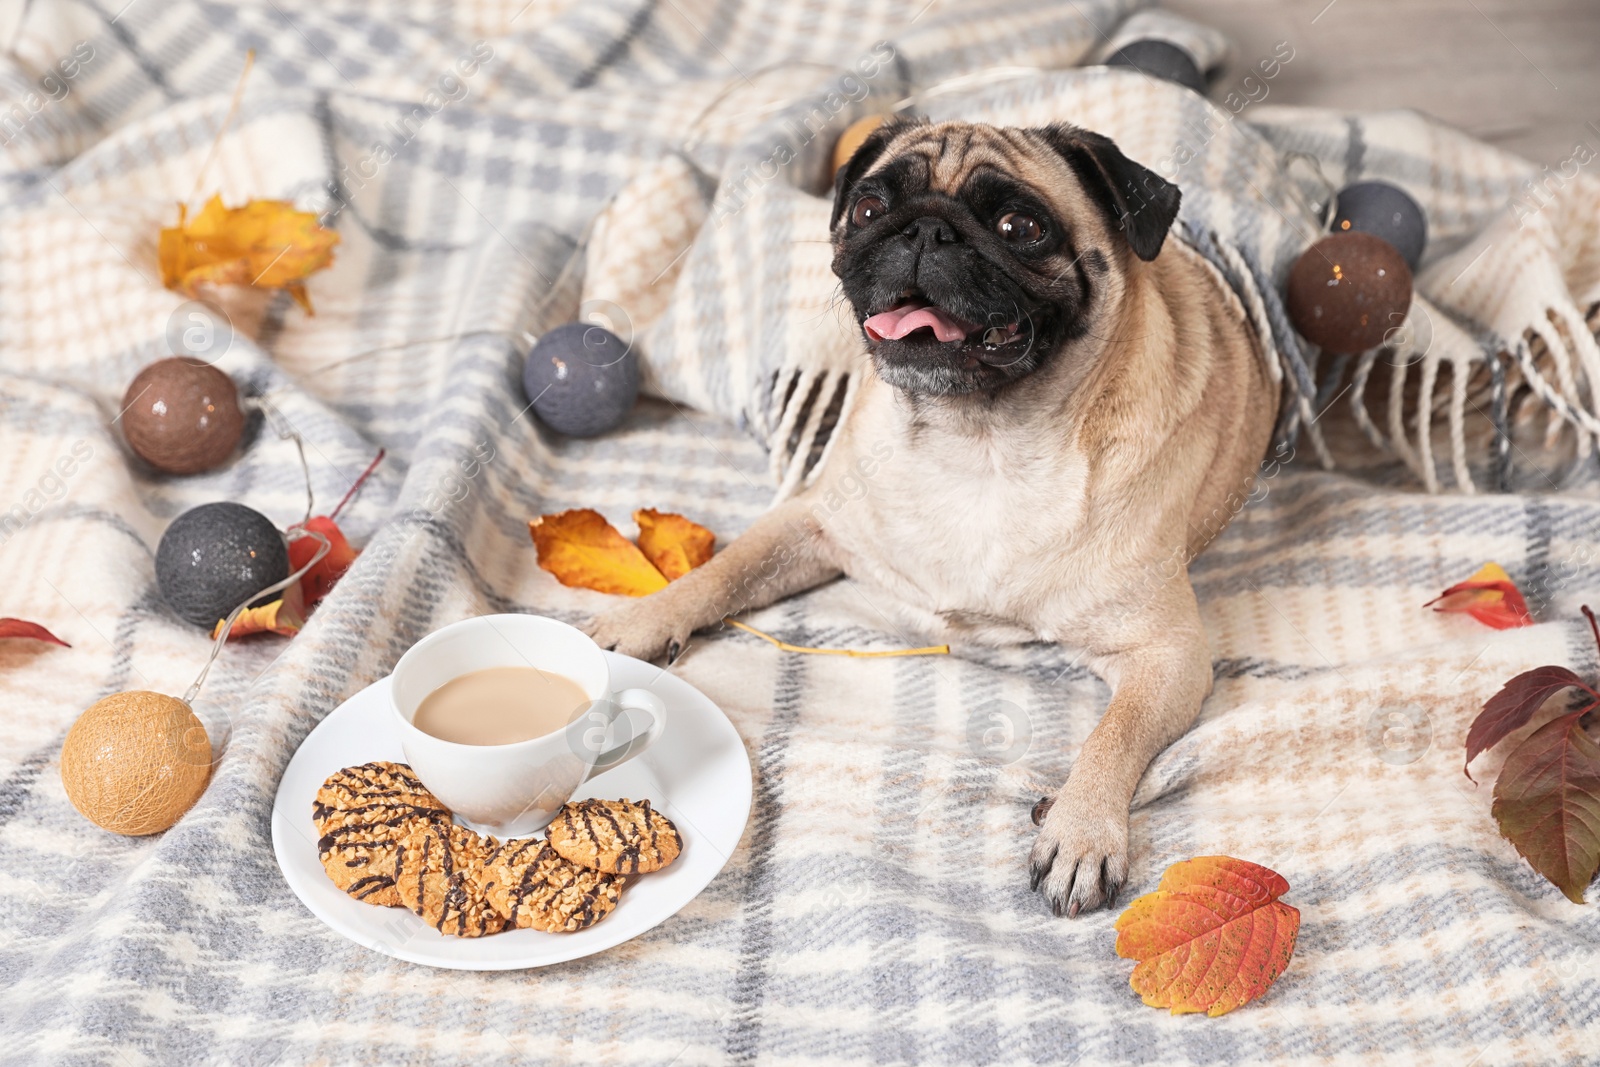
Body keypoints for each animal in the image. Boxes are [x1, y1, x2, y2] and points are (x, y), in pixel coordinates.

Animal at [588, 119, 1273, 921]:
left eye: (1020, 227)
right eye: (868, 208)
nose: (925, 229)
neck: (979, 442)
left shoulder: (1167, 655)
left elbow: (1115, 734)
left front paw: (1080, 829)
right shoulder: (812, 524)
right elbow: (722, 570)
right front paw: (647, 617)